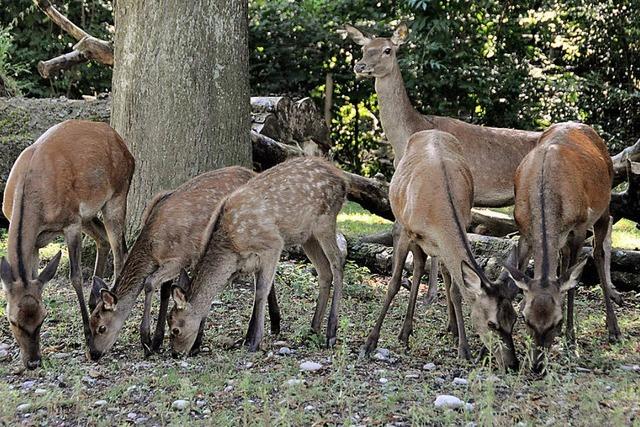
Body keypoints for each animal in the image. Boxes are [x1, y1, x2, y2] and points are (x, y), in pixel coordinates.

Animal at [0, 121, 134, 372]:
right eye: (12, 320)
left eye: (43, 318)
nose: (33, 362)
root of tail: (121, 141)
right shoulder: (36, 242)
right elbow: (35, 276)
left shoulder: (71, 223)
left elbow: (75, 277)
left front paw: (90, 346)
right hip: (88, 214)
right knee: (102, 239)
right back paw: (96, 300)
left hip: (117, 196)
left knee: (120, 252)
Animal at [85, 167, 282, 362]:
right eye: (90, 322)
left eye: (101, 327)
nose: (93, 354)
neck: (153, 248)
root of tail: (254, 172)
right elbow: (165, 291)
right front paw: (157, 342)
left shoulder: (179, 258)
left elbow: (150, 283)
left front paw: (147, 342)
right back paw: (274, 325)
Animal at [165, 158, 344, 358]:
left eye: (175, 330)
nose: (175, 353)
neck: (231, 249)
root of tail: (341, 178)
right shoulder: (249, 263)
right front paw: (245, 339)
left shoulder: (272, 244)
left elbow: (261, 292)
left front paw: (254, 342)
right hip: (307, 236)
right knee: (324, 271)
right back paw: (313, 329)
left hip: (325, 221)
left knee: (337, 262)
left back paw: (331, 333)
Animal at [364, 131, 520, 372]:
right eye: (491, 323)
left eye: (513, 319)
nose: (513, 364)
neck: (436, 211)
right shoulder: (405, 230)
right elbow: (394, 284)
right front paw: (370, 342)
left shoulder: (461, 226)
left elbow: (456, 291)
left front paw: (464, 349)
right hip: (404, 225)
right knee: (418, 268)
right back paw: (405, 333)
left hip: (435, 245)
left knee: (432, 270)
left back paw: (442, 329)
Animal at [502, 122, 624, 372]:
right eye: (526, 319)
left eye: (555, 322)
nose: (537, 365)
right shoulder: (524, 231)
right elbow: (517, 276)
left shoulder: (578, 228)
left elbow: (572, 285)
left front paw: (571, 339)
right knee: (563, 258)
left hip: (604, 206)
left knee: (598, 252)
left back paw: (613, 329)